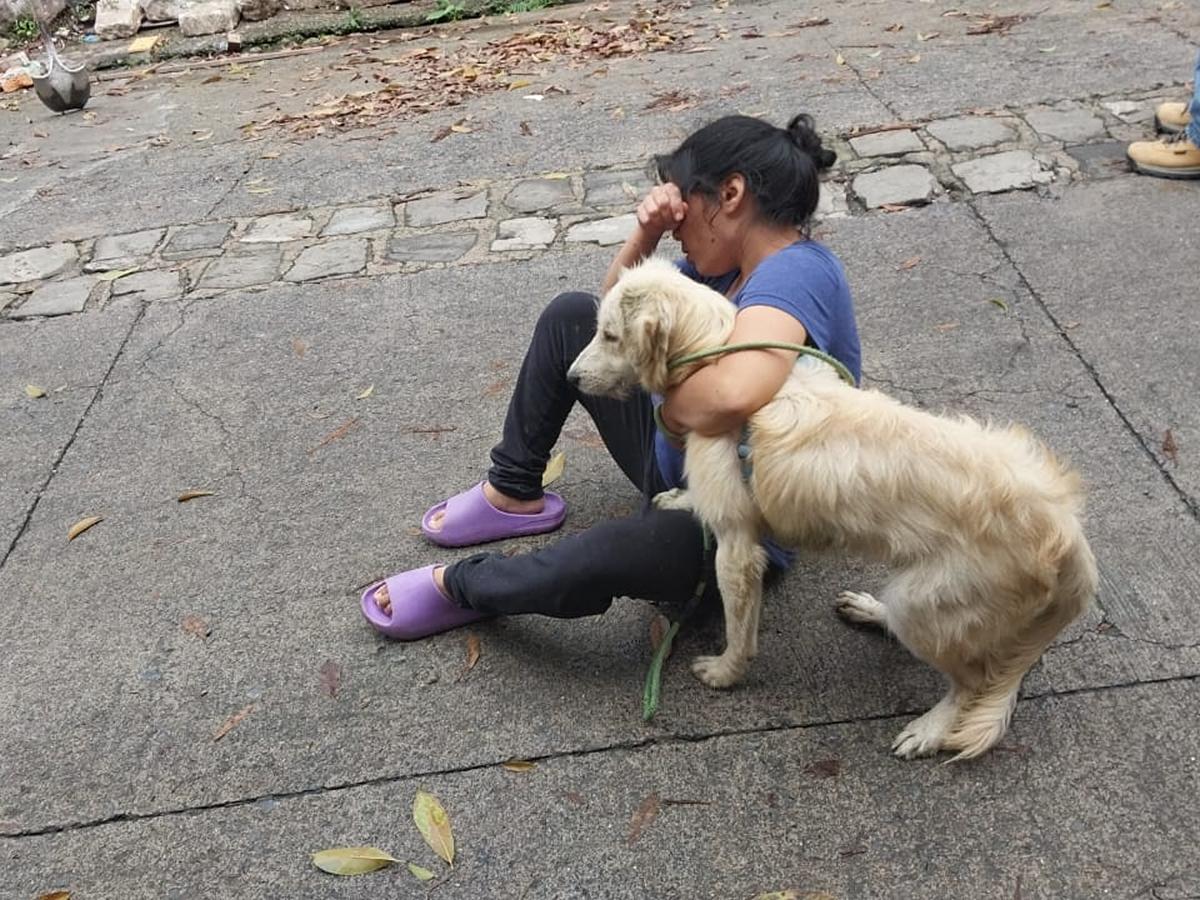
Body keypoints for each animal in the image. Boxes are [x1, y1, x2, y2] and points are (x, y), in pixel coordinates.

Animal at [566, 259, 1099, 763]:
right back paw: (872, 610)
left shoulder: (738, 550)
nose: (571, 376)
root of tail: (1066, 527)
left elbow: (740, 631)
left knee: (972, 682)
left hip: (929, 603)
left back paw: (931, 728)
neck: (711, 360)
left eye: (609, 334)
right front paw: (681, 498)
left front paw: (725, 672)